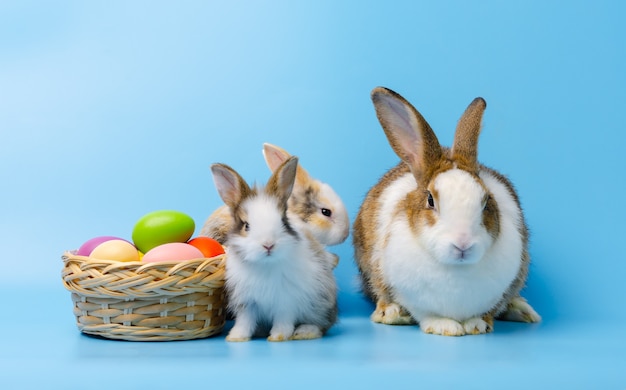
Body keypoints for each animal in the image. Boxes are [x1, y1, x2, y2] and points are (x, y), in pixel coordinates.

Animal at [210, 156, 336, 342]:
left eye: (283, 222)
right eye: (246, 226)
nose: (268, 244)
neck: (265, 264)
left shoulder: (286, 301)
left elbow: (283, 320)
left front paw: (278, 336)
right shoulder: (247, 302)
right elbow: (244, 321)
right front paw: (236, 337)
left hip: (320, 305)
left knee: (322, 325)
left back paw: (304, 332)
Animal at [354, 87, 540, 336]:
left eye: (486, 201)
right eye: (431, 200)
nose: (463, 243)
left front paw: (477, 324)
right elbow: (425, 313)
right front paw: (443, 326)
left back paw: (522, 310)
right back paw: (392, 313)